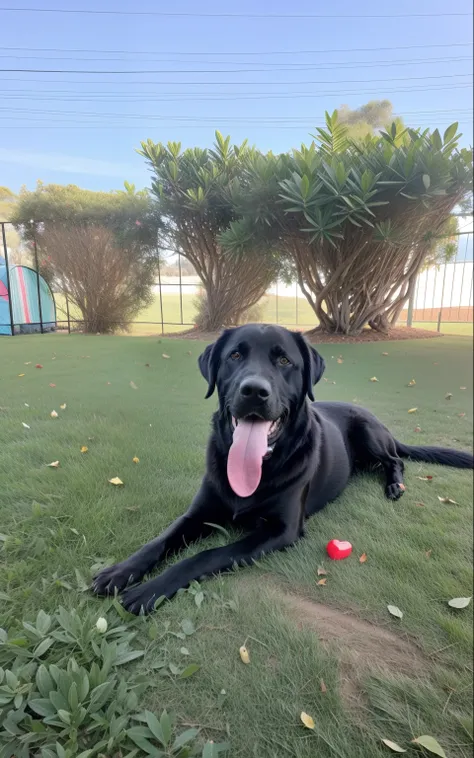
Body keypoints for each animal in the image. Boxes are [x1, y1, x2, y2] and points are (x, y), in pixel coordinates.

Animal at [91, 324, 470, 616]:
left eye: (285, 360)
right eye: (234, 356)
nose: (254, 391)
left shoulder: (281, 531)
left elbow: (205, 555)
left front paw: (149, 590)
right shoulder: (198, 513)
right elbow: (161, 540)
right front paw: (121, 572)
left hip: (369, 431)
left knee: (396, 460)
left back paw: (394, 486)